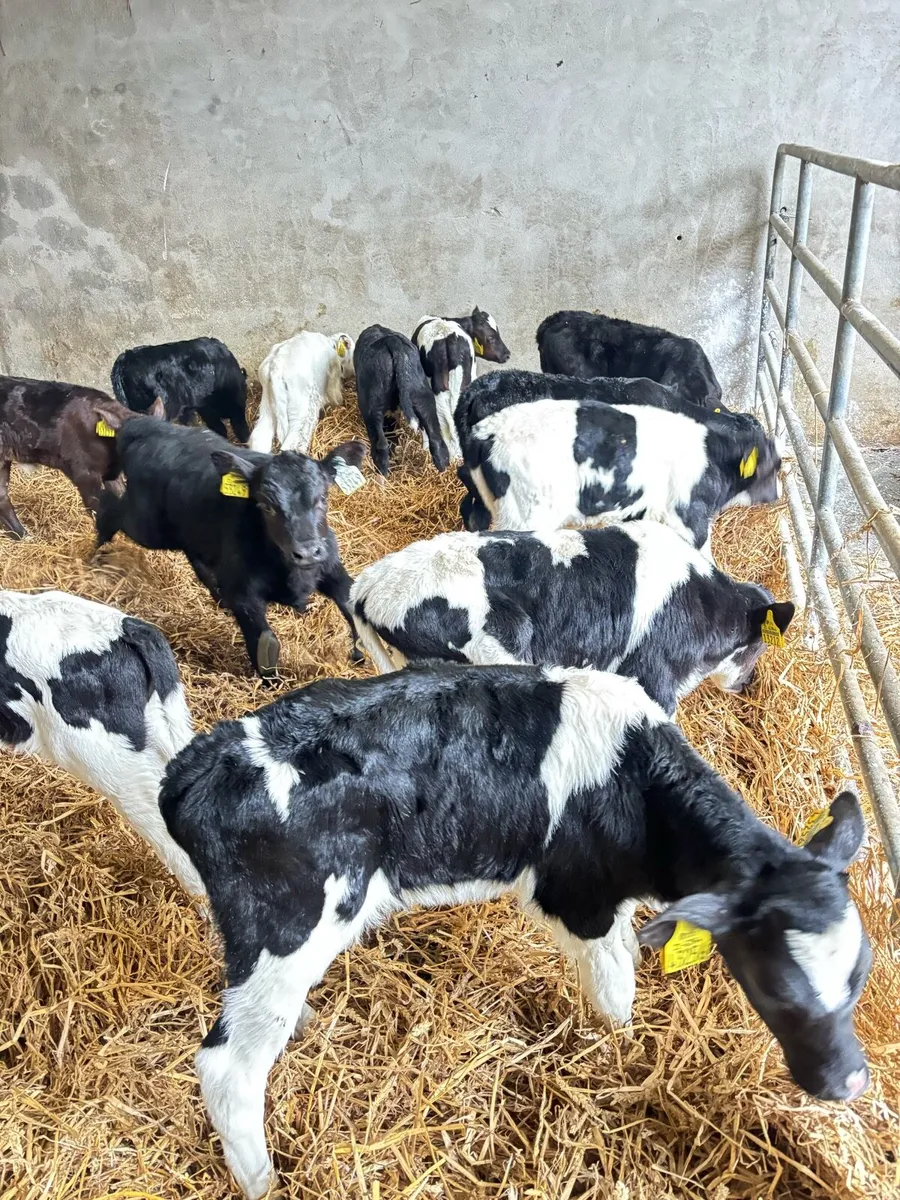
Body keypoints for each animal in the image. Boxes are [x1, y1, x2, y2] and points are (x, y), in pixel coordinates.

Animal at [93, 411, 366, 678]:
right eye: (266, 505)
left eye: (322, 498)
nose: (307, 553)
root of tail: (143, 426)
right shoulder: (244, 595)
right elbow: (265, 645)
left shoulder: (332, 566)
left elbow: (351, 604)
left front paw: (361, 656)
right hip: (148, 527)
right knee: (112, 509)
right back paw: (95, 554)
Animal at [159, 663, 871, 1200]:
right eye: (778, 990)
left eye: (861, 977)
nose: (852, 1085)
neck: (635, 783)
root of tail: (198, 763)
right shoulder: (579, 898)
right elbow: (614, 994)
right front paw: (619, 1059)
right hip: (287, 927)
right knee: (228, 1066)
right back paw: (261, 1182)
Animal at [354, 325, 449, 476]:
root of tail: (391, 342)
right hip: (423, 397)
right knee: (436, 440)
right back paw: (442, 469)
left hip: (372, 407)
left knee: (381, 446)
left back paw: (381, 474)